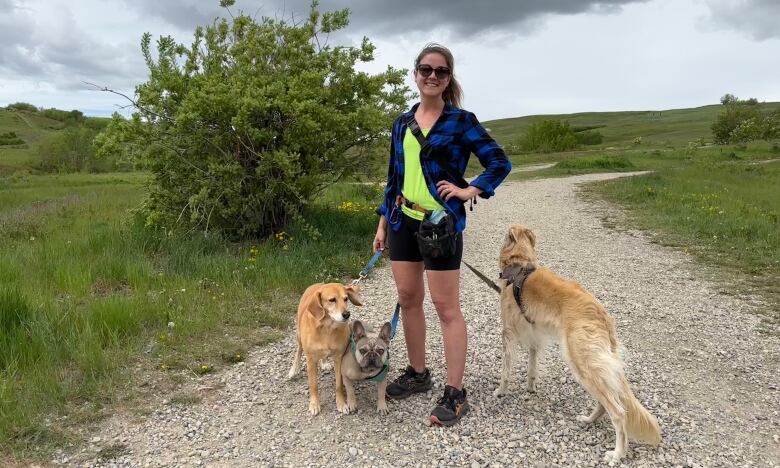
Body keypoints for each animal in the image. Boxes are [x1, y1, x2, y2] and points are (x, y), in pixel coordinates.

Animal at [288, 284, 362, 414]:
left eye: (346, 298)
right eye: (332, 300)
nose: (346, 314)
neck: (327, 328)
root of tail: (317, 284)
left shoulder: (338, 358)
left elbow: (338, 384)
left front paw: (341, 403)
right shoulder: (311, 361)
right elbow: (313, 385)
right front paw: (314, 404)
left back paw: (324, 362)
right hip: (299, 337)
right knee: (298, 351)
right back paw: (293, 370)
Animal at [494, 225, 660, 462]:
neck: (520, 264)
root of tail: (603, 316)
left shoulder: (508, 332)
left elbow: (506, 370)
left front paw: (500, 391)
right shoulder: (535, 333)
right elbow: (532, 367)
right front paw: (530, 388)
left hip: (581, 362)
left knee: (618, 412)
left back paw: (617, 454)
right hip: (595, 366)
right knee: (605, 403)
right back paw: (589, 420)